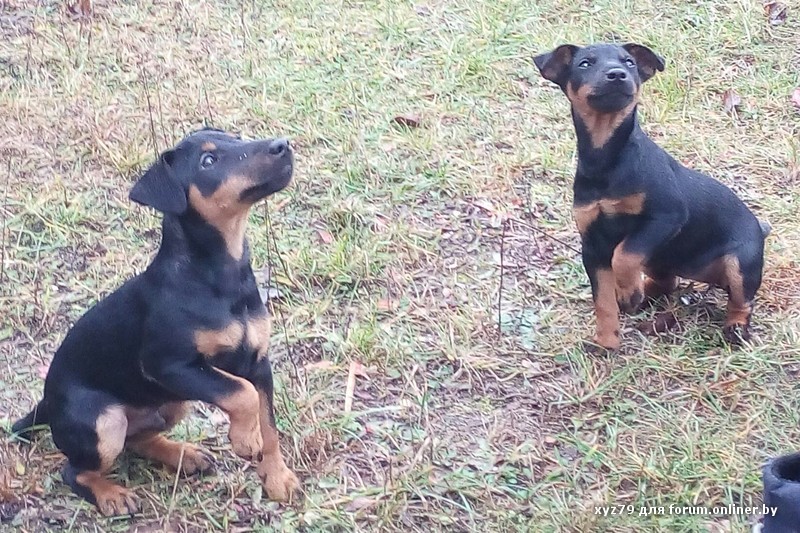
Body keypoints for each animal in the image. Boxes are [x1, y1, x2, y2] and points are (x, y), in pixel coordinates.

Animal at [11, 128, 300, 515]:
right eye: (208, 161)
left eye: (236, 137)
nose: (282, 145)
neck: (220, 275)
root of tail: (47, 401)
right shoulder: (169, 365)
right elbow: (241, 394)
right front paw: (244, 438)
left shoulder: (258, 362)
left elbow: (268, 422)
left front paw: (277, 478)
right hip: (106, 421)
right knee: (73, 471)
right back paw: (112, 496)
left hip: (174, 402)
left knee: (137, 440)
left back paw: (183, 455)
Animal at [533, 43, 769, 350]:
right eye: (584, 64)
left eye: (629, 62)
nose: (617, 74)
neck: (606, 159)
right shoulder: (593, 246)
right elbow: (603, 300)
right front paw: (607, 340)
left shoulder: (666, 217)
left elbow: (624, 255)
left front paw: (627, 291)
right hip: (660, 258)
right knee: (668, 283)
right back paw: (639, 294)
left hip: (740, 264)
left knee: (742, 301)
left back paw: (735, 328)